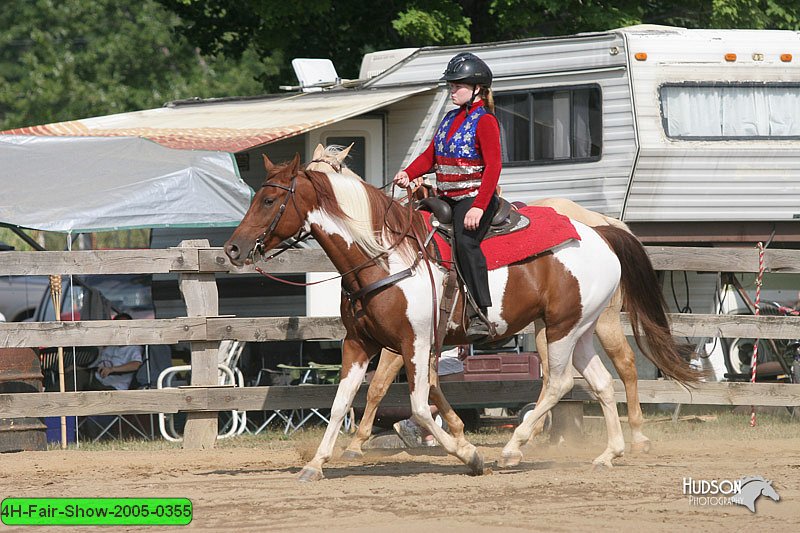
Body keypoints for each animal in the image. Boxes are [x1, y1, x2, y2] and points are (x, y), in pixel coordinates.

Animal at [223, 152, 692, 480]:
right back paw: (608, 454)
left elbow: (415, 404)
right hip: (578, 329)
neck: (385, 256)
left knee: (561, 382)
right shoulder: (359, 344)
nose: (233, 248)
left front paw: (469, 454)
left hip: (561, 329)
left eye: (269, 199)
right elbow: (341, 403)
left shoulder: (414, 343)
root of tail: (600, 231)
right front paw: (316, 464)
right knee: (601, 382)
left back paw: (513, 449)